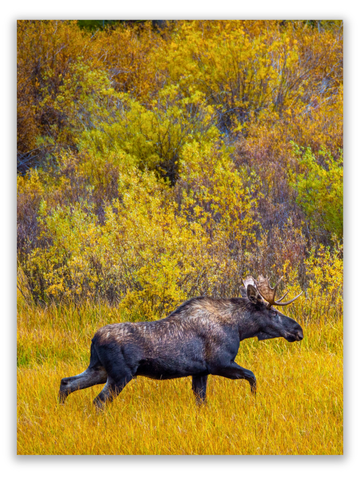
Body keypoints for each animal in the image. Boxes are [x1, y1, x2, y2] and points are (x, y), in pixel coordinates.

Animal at [59, 274, 304, 408]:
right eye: (273, 312)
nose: (298, 330)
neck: (239, 327)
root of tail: (94, 339)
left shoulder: (200, 371)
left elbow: (201, 401)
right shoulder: (220, 364)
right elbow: (252, 377)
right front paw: (253, 400)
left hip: (99, 370)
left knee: (66, 383)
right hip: (120, 375)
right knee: (98, 401)